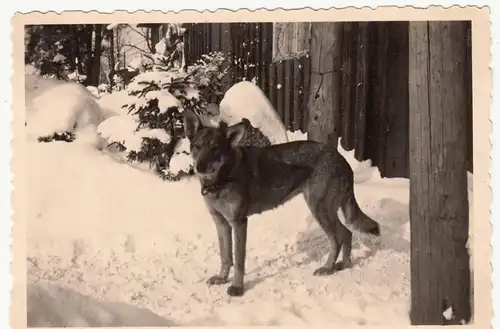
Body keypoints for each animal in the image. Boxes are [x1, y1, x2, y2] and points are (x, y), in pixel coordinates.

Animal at [182, 108, 380, 298]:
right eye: (197, 147)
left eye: (215, 149)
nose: (199, 167)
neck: (222, 179)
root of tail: (342, 159)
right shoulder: (221, 223)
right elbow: (225, 256)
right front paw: (222, 278)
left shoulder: (239, 223)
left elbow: (238, 261)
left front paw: (237, 287)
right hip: (324, 210)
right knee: (347, 233)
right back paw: (343, 265)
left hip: (319, 209)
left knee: (338, 239)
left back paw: (327, 268)